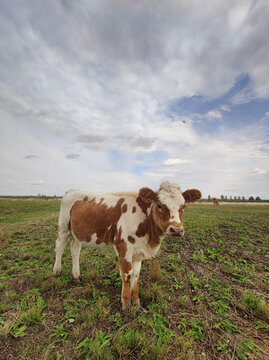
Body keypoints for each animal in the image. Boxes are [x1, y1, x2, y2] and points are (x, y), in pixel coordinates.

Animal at [52, 181, 200, 310]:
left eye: (183, 206)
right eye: (159, 205)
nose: (177, 230)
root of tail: (71, 190)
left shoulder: (138, 252)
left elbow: (136, 274)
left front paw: (136, 301)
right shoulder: (123, 247)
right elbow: (126, 274)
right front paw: (126, 302)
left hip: (79, 232)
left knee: (75, 247)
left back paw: (76, 275)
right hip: (63, 225)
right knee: (60, 245)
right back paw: (56, 271)